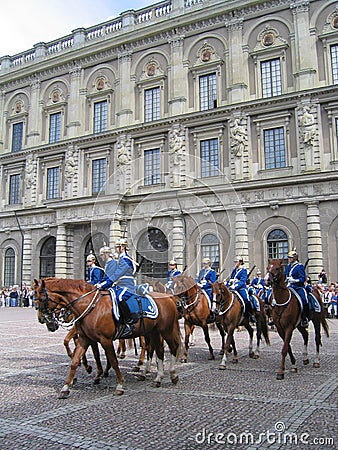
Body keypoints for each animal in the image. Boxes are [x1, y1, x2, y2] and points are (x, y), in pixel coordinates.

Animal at [33, 278, 182, 398]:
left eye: (41, 298)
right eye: (34, 297)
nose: (42, 319)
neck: (89, 305)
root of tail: (168, 297)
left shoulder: (105, 339)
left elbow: (113, 361)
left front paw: (119, 384)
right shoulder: (84, 338)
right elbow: (75, 361)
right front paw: (65, 388)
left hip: (165, 330)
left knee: (173, 347)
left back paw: (173, 374)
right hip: (154, 332)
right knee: (159, 351)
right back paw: (158, 378)